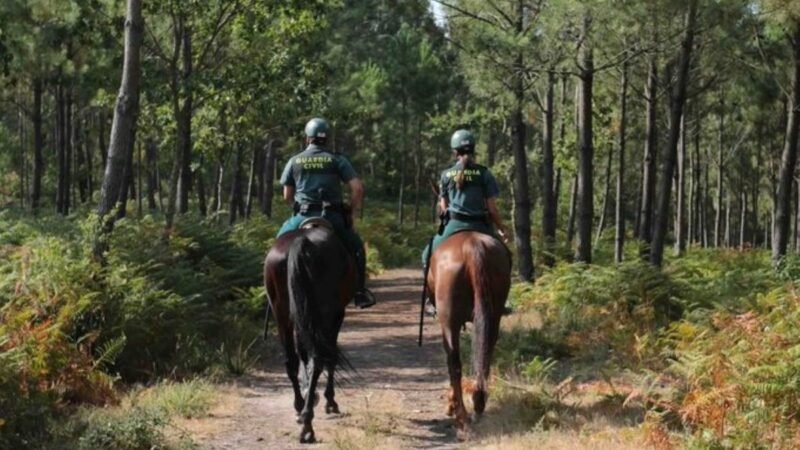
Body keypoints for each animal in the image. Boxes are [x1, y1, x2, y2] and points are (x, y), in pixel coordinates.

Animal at [264, 221, 354, 442]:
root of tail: (301, 241)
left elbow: (302, 356)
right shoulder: (337, 314)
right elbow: (330, 357)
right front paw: (330, 401)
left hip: (284, 315)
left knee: (291, 361)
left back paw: (299, 407)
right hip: (325, 313)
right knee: (319, 359)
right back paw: (307, 423)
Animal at [424, 230, 512, 434]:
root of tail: (472, 247)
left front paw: (451, 404)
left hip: (449, 321)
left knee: (454, 363)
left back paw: (461, 416)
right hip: (493, 318)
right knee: (485, 357)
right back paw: (478, 405)